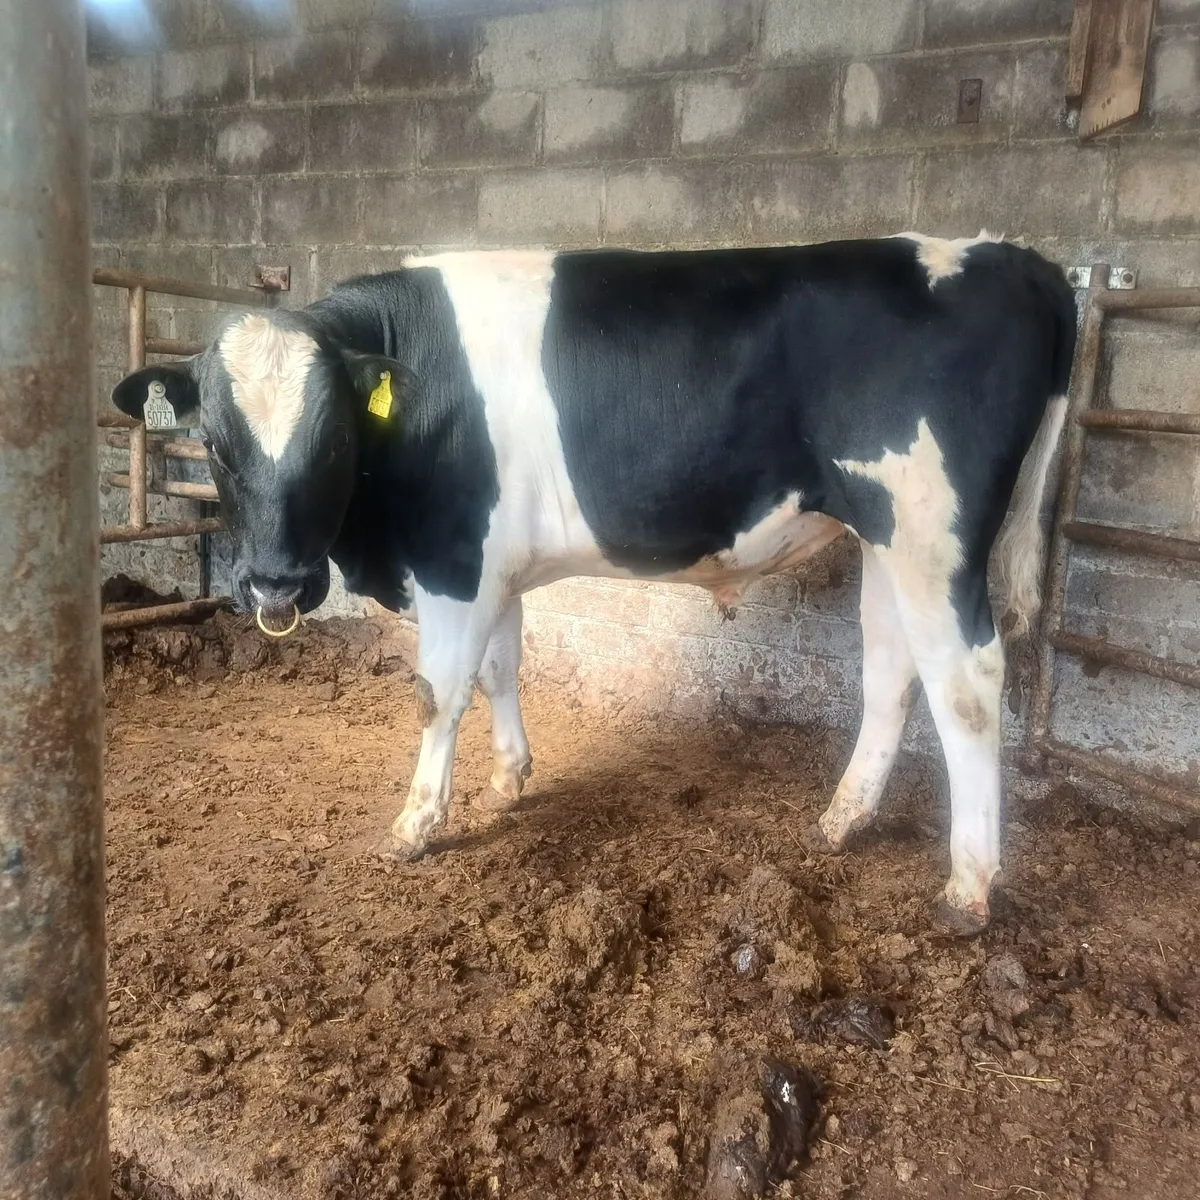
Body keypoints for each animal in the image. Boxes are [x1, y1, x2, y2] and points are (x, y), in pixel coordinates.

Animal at [110, 232, 1076, 934]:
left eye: (337, 437)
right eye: (215, 444)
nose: (276, 586)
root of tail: (1013, 256)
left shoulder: (455, 563)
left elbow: (436, 694)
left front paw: (417, 824)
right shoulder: (493, 569)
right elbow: (499, 669)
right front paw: (509, 779)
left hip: (932, 535)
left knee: (968, 687)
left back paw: (968, 887)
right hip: (886, 537)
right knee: (892, 669)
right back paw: (843, 820)